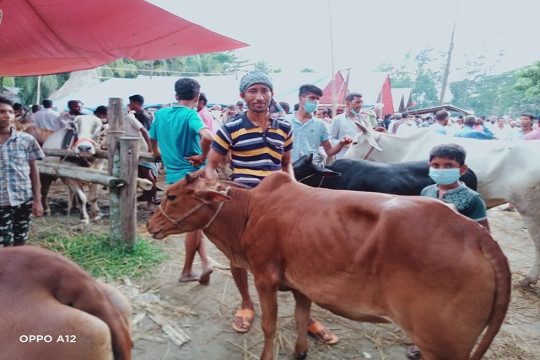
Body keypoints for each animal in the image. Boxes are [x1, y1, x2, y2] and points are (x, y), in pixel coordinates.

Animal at [147, 172, 510, 360]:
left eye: (173, 196)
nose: (150, 224)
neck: (249, 211)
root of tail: (478, 235)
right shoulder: (302, 283)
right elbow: (300, 317)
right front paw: (300, 352)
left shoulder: (265, 276)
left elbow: (270, 326)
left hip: (442, 345)